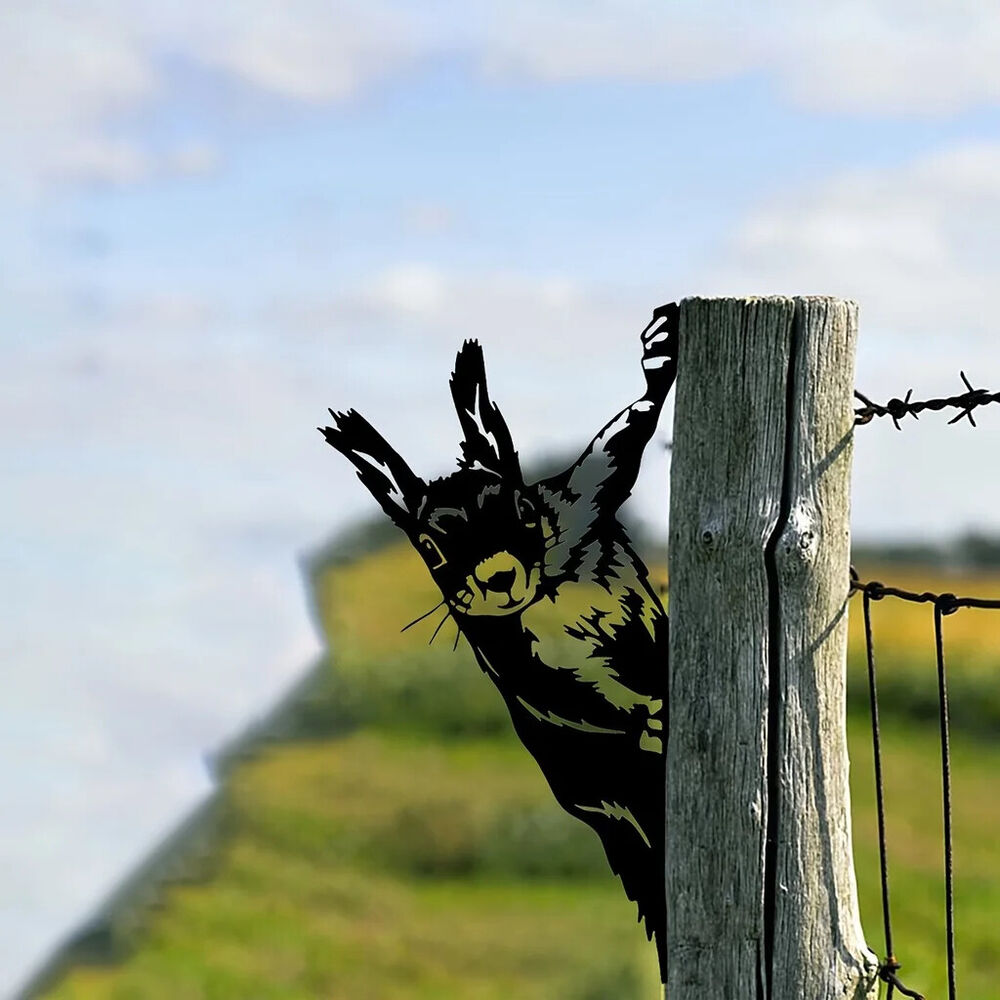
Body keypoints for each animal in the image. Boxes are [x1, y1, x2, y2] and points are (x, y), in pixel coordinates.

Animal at [321, 302, 679, 980]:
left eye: (522, 509)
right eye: (429, 549)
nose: (497, 577)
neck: (545, 597)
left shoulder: (578, 505)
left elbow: (618, 445)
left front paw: (660, 352)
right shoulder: (518, 661)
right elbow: (564, 692)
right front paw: (646, 712)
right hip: (598, 784)